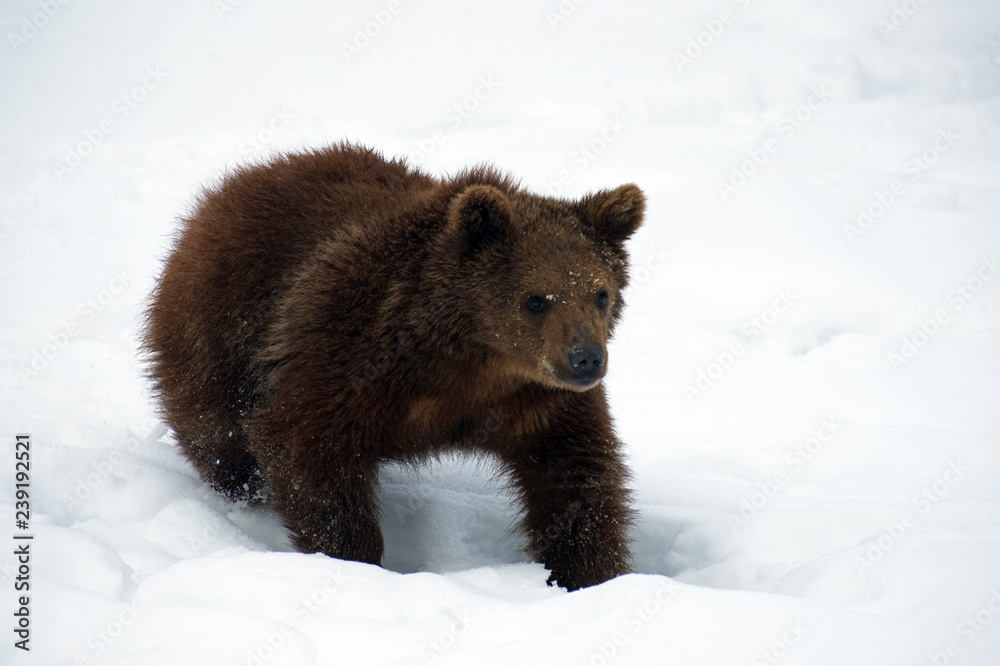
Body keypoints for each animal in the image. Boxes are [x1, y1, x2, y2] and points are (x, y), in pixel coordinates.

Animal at [144, 142, 645, 591]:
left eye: (601, 293)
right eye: (536, 299)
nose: (586, 358)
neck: (469, 358)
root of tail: (235, 184)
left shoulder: (535, 400)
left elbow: (576, 477)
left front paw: (589, 572)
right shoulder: (350, 351)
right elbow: (303, 444)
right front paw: (353, 558)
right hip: (218, 326)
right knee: (217, 434)